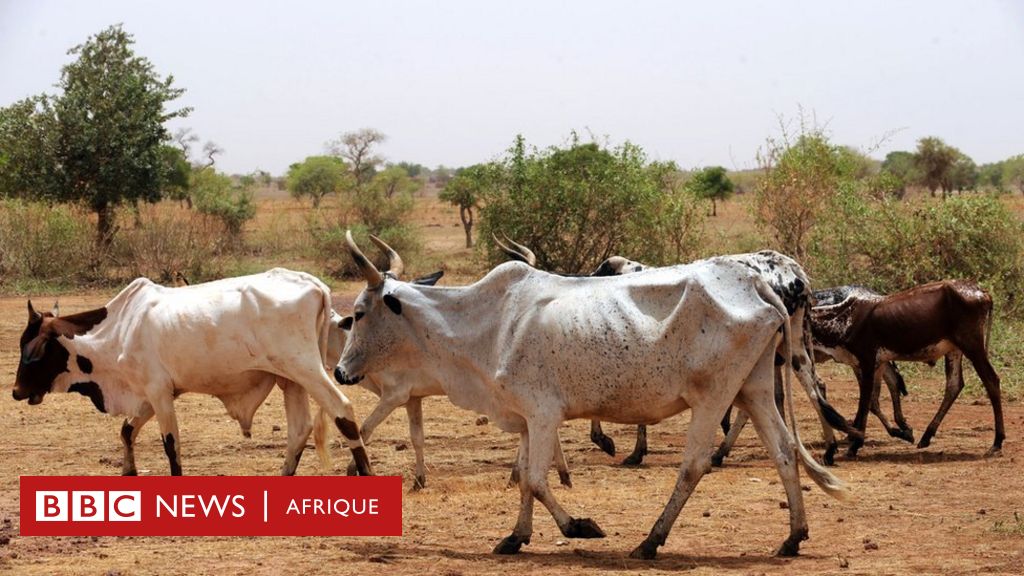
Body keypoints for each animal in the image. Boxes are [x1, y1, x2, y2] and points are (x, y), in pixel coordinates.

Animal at [12, 268, 372, 475]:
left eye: (32, 353)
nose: (16, 391)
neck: (121, 327)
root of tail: (313, 284)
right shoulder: (151, 393)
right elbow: (127, 431)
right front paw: (129, 471)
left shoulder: (158, 392)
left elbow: (171, 444)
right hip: (290, 379)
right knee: (299, 429)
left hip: (306, 369)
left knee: (343, 411)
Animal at [337, 231, 847, 557]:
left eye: (359, 313)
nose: (341, 371)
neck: (488, 322)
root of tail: (759, 281)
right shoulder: (527, 418)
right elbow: (524, 479)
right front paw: (515, 537)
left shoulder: (544, 413)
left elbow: (536, 480)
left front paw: (579, 526)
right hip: (755, 388)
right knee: (784, 452)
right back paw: (793, 537)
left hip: (715, 395)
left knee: (694, 465)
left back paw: (650, 541)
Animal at [811, 280, 1003, 455]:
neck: (844, 318)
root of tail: (981, 292)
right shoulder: (876, 364)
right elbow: (874, 399)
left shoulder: (866, 362)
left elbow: (865, 403)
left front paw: (855, 445)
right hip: (954, 349)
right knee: (954, 385)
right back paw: (926, 436)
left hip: (972, 346)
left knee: (991, 381)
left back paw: (997, 443)